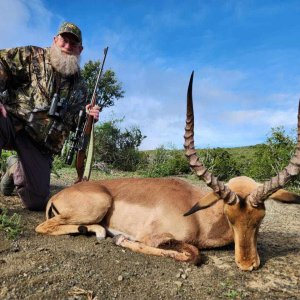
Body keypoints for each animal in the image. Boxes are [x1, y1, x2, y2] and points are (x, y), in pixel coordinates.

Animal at [35, 71, 300, 270]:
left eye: (261, 217)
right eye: (229, 215)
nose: (247, 264)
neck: (198, 216)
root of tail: (57, 196)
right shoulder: (153, 237)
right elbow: (193, 254)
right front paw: (122, 239)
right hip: (99, 204)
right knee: (42, 227)